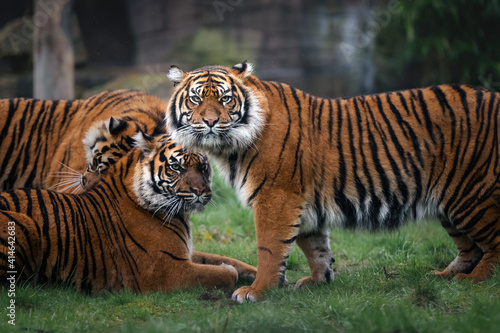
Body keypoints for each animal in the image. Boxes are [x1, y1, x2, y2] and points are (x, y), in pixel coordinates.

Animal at [166, 60, 500, 300]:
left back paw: (474, 281)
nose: (210, 121)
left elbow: (270, 249)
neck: (229, 148)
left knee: (493, 244)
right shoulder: (302, 203)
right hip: (449, 200)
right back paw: (444, 277)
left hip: (473, 193)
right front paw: (319, 280)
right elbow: (315, 248)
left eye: (225, 99)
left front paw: (257, 291)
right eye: (195, 99)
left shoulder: (277, 197)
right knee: (470, 249)